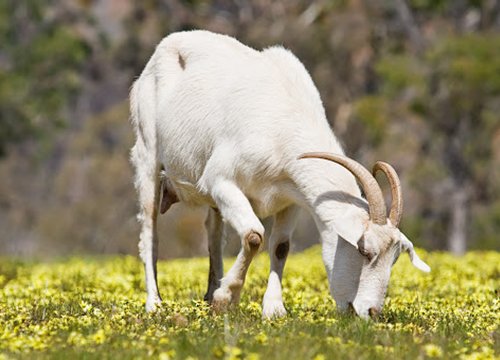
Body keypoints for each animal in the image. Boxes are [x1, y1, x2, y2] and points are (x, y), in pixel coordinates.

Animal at [130, 30, 430, 318]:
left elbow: (280, 246)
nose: (371, 312)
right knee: (150, 233)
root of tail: (165, 46)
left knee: (214, 235)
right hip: (148, 155)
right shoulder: (221, 180)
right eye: (365, 251)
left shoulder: (291, 198)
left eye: (395, 258)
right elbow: (254, 236)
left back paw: (209, 294)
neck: (284, 124)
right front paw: (227, 299)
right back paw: (154, 303)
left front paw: (273, 309)